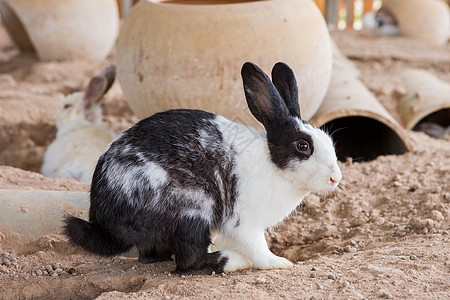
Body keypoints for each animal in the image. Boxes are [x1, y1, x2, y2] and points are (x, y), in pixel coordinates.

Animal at [63, 62, 342, 274]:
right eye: (303, 146)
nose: (335, 178)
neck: (272, 164)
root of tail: (104, 219)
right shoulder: (245, 223)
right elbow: (258, 247)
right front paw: (279, 263)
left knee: (152, 256)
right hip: (194, 209)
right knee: (188, 261)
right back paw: (235, 260)